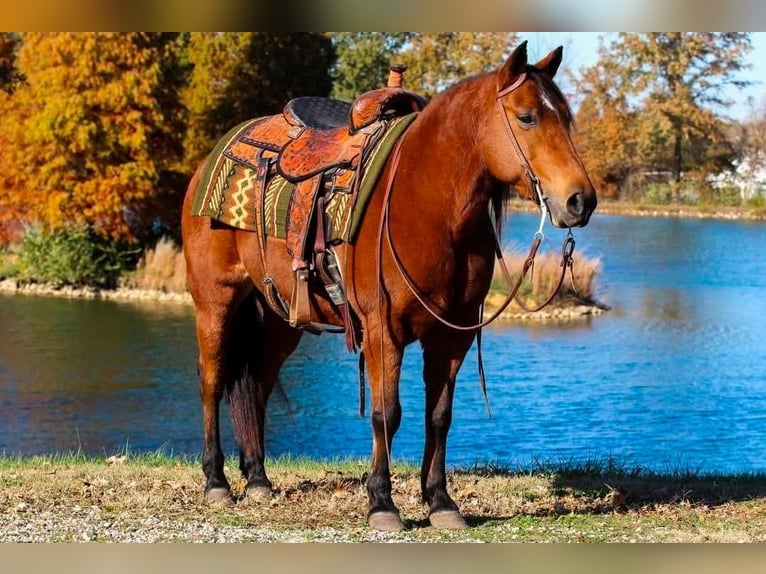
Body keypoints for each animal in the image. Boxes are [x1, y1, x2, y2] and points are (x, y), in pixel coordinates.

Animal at [181, 41, 597, 532]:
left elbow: (439, 415)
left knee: (258, 385)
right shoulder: (384, 330)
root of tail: (210, 158)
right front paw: (382, 502)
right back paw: (216, 482)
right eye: (527, 117)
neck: (427, 206)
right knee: (211, 381)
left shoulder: (451, 335)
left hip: (283, 317)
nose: (581, 200)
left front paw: (440, 501)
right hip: (215, 300)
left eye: (566, 118)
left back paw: (258, 479)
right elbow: (387, 414)